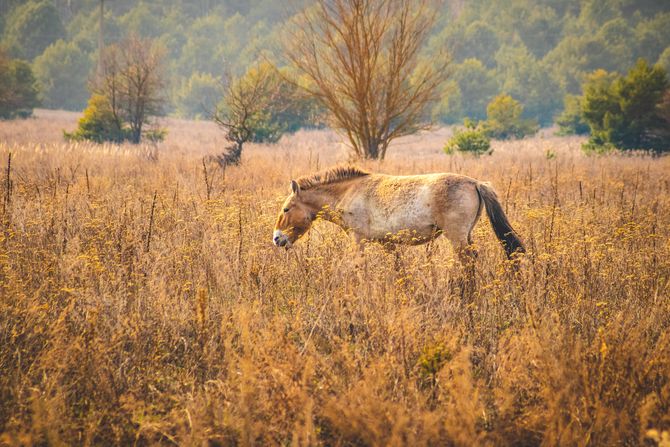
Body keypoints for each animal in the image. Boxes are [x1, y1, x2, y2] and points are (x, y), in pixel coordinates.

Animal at [272, 165, 524, 264]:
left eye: (286, 209)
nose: (276, 238)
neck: (349, 192)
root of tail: (475, 183)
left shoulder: (357, 240)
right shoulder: (388, 244)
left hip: (457, 238)